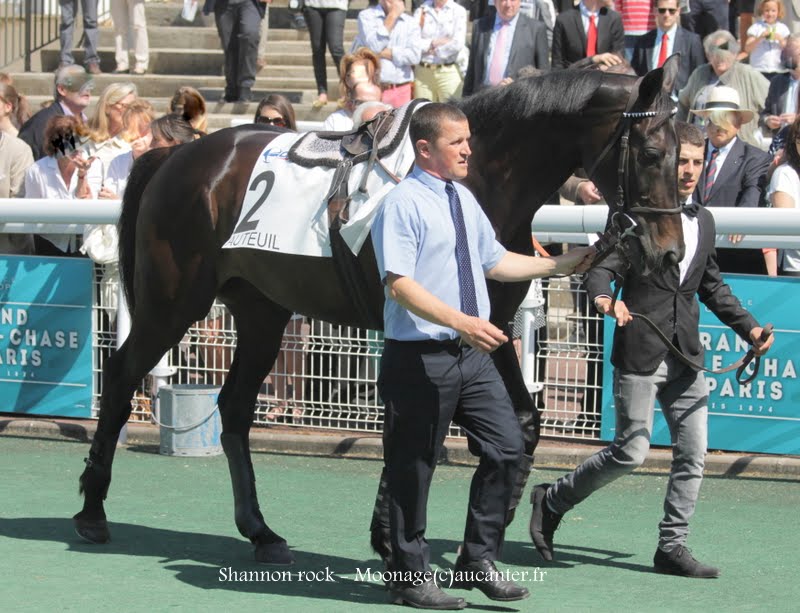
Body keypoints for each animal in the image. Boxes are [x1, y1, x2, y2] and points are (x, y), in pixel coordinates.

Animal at [73, 57, 680, 564]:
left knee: (235, 407)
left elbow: (523, 421)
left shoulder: (487, 327)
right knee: (123, 373)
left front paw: (495, 519)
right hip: (173, 301)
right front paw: (393, 536)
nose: (668, 252)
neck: (475, 179)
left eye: (683, 154)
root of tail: (175, 154)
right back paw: (92, 511)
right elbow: (419, 427)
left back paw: (260, 531)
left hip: (263, 311)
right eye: (652, 154)